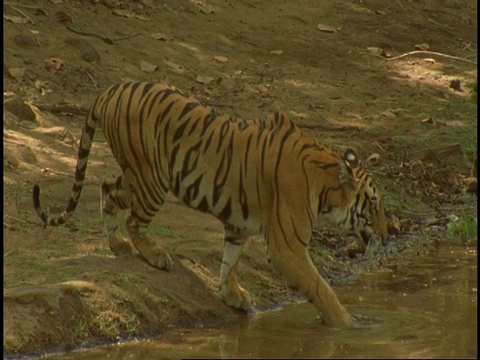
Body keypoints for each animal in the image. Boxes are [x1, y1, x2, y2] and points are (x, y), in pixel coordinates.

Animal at [32, 81, 386, 326]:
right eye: (373, 203)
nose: (388, 233)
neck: (325, 186)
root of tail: (112, 89)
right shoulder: (287, 247)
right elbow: (320, 288)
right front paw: (348, 324)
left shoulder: (239, 226)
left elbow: (230, 262)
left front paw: (232, 296)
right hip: (152, 180)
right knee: (134, 219)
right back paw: (155, 255)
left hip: (136, 177)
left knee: (107, 188)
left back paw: (117, 244)